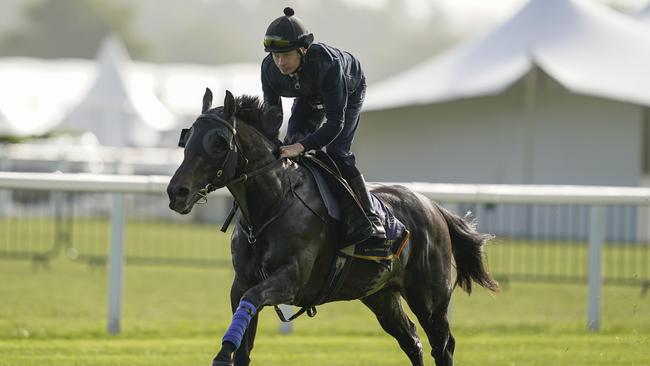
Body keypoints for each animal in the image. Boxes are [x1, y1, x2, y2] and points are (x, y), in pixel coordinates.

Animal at [166, 88, 496, 366]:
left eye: (219, 143)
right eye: (187, 138)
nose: (176, 192)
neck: (273, 203)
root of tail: (434, 207)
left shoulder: (290, 281)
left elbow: (251, 303)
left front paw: (221, 354)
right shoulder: (242, 282)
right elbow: (243, 345)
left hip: (430, 298)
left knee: (443, 345)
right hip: (380, 295)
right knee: (411, 340)